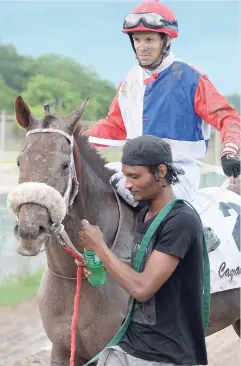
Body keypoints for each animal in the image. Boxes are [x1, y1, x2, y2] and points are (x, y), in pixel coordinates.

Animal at [6, 96, 240, 364]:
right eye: (20, 161)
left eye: (64, 165)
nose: (30, 230)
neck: (76, 275)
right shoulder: (62, 350)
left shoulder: (114, 350)